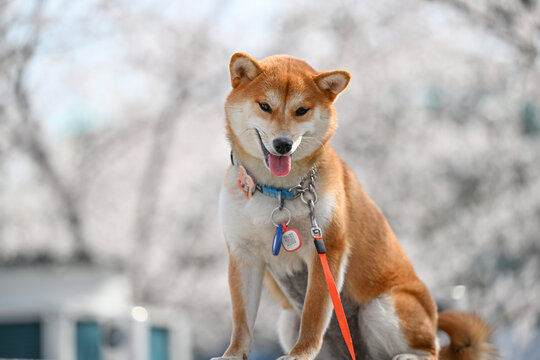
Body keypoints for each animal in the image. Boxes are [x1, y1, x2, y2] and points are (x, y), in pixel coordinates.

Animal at [212, 52, 498, 360]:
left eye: (302, 110)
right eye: (265, 106)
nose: (283, 144)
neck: (277, 191)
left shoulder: (326, 248)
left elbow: (314, 315)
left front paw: (299, 354)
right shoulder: (243, 255)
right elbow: (241, 320)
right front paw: (232, 354)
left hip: (383, 307)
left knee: (429, 350)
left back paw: (409, 355)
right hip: (288, 320)